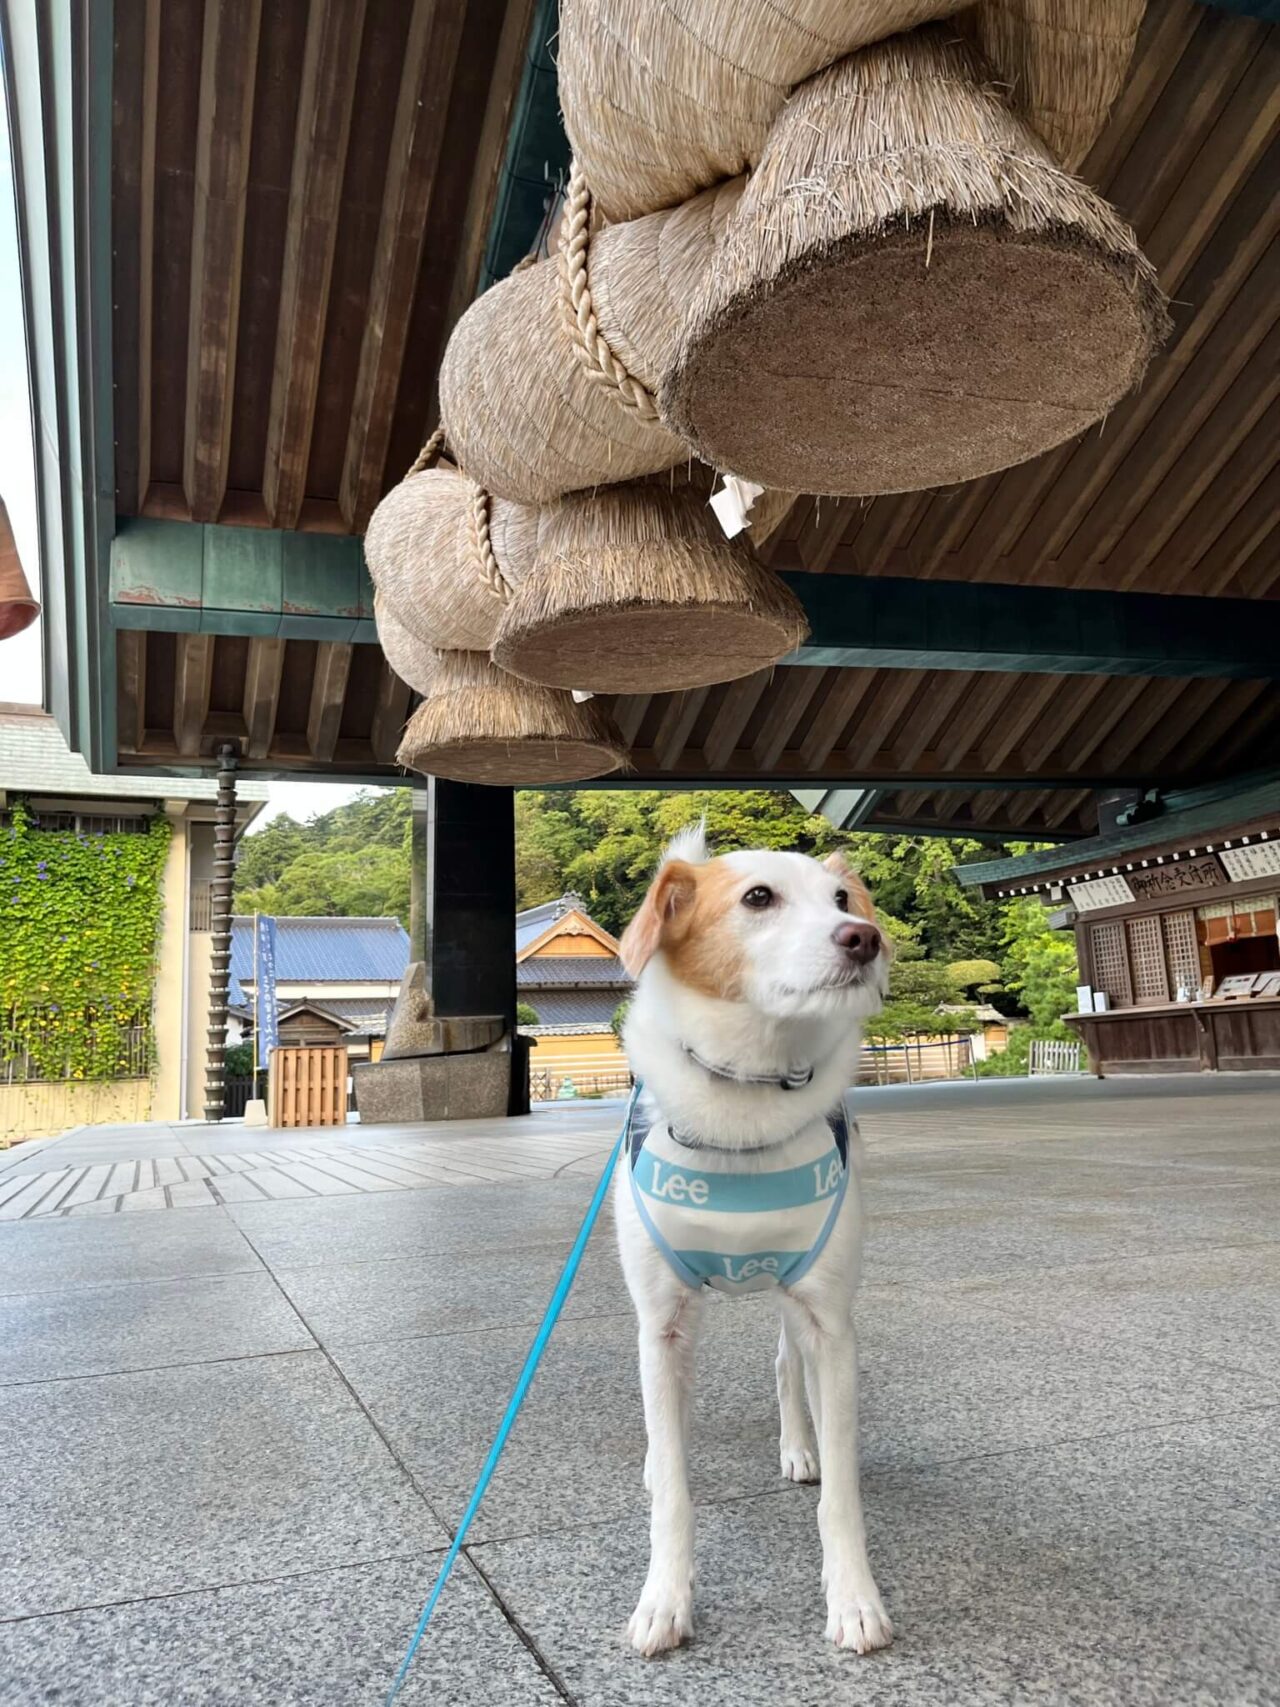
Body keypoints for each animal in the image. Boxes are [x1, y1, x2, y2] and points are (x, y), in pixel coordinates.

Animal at [617, 822, 894, 1652]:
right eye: (758, 897)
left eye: (842, 899)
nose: (866, 937)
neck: (747, 1093)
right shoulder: (663, 1324)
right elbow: (675, 1492)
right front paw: (664, 1599)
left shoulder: (828, 1317)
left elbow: (842, 1494)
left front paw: (854, 1598)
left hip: (794, 1298)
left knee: (785, 1368)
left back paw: (801, 1445)